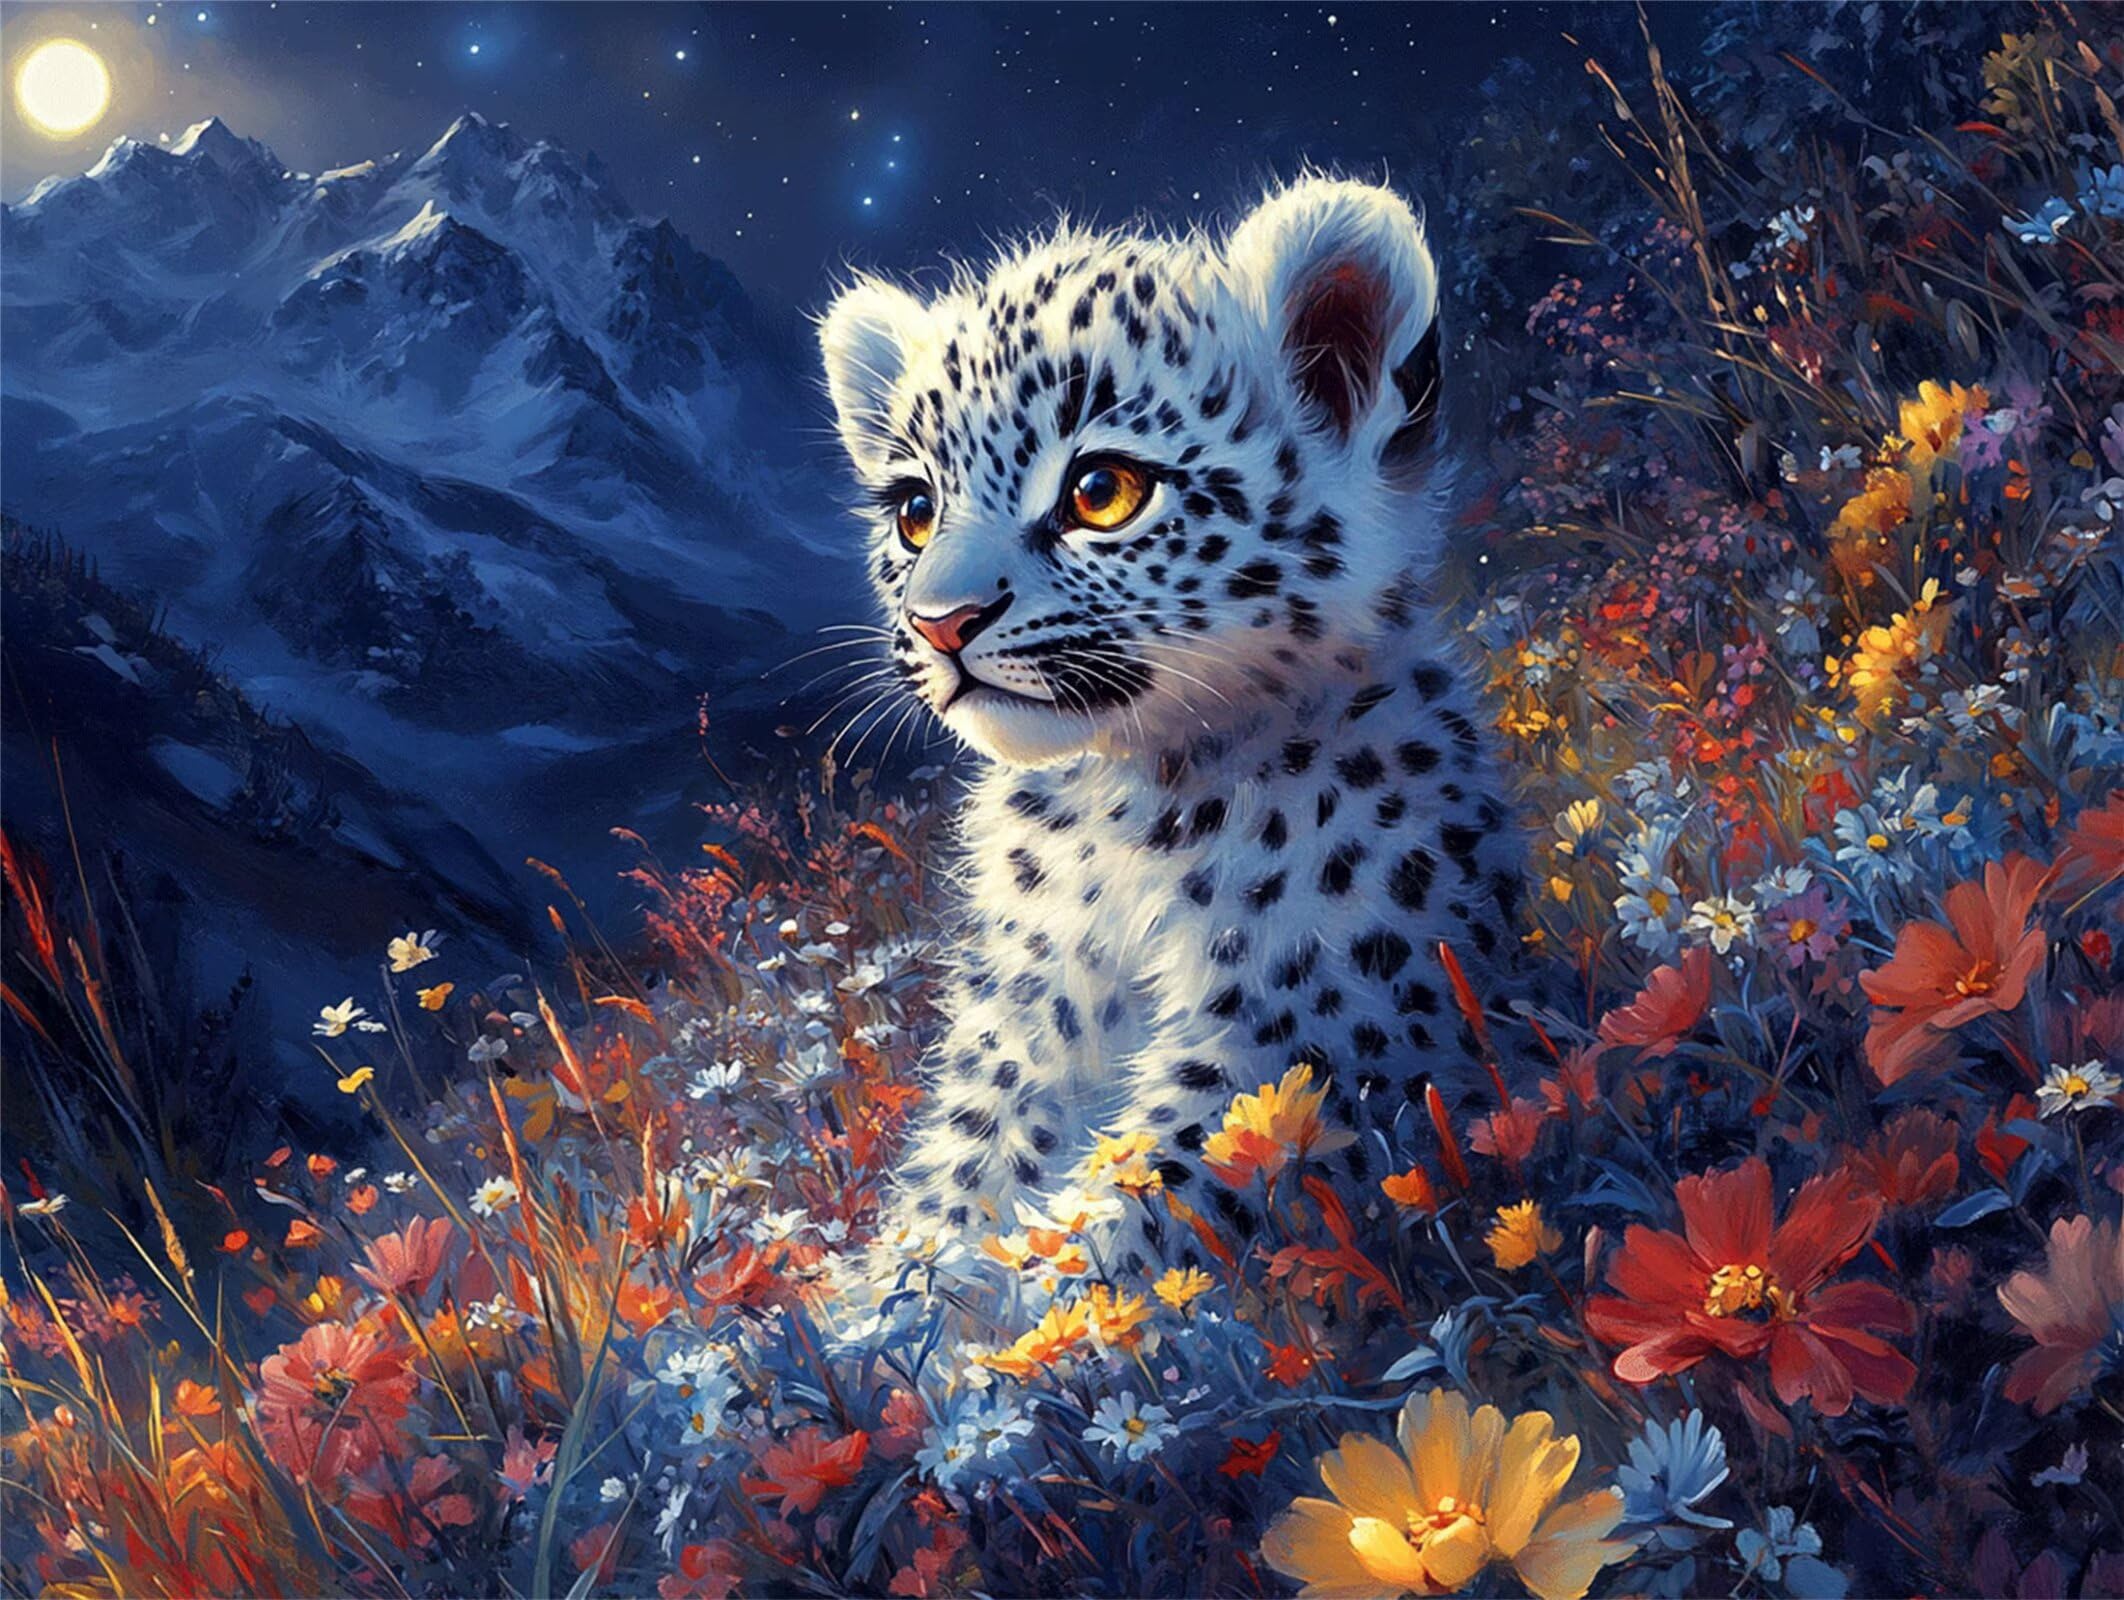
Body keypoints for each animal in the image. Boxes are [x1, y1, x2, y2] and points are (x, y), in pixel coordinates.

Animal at [817, 177, 1528, 1263]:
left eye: (1101, 491)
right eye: (914, 510)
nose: (940, 622)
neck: (1124, 805)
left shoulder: (1308, 1035)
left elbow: (1125, 1220)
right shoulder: (1017, 1028)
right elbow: (953, 1195)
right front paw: (882, 1298)